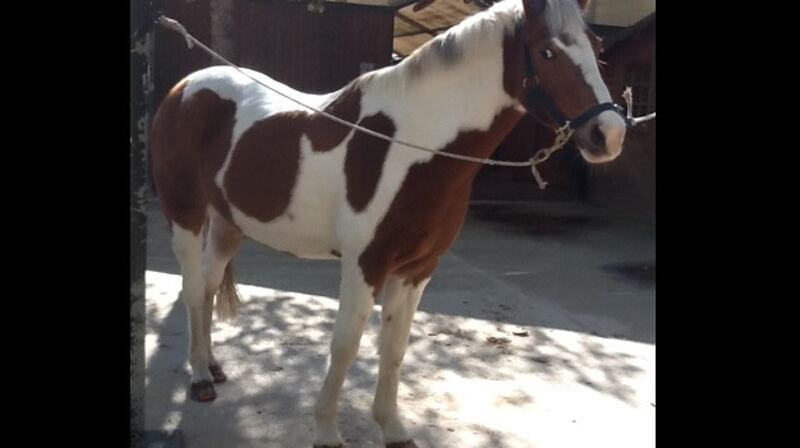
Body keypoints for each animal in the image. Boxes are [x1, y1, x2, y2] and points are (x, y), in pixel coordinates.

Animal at [149, 0, 627, 446]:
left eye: (597, 47)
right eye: (547, 51)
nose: (610, 134)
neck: (411, 146)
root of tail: (185, 88)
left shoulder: (417, 269)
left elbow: (394, 348)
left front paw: (393, 428)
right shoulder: (365, 264)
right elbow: (345, 346)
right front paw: (326, 431)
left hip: (227, 222)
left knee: (208, 286)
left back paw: (211, 364)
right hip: (186, 215)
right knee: (192, 288)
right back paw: (200, 377)